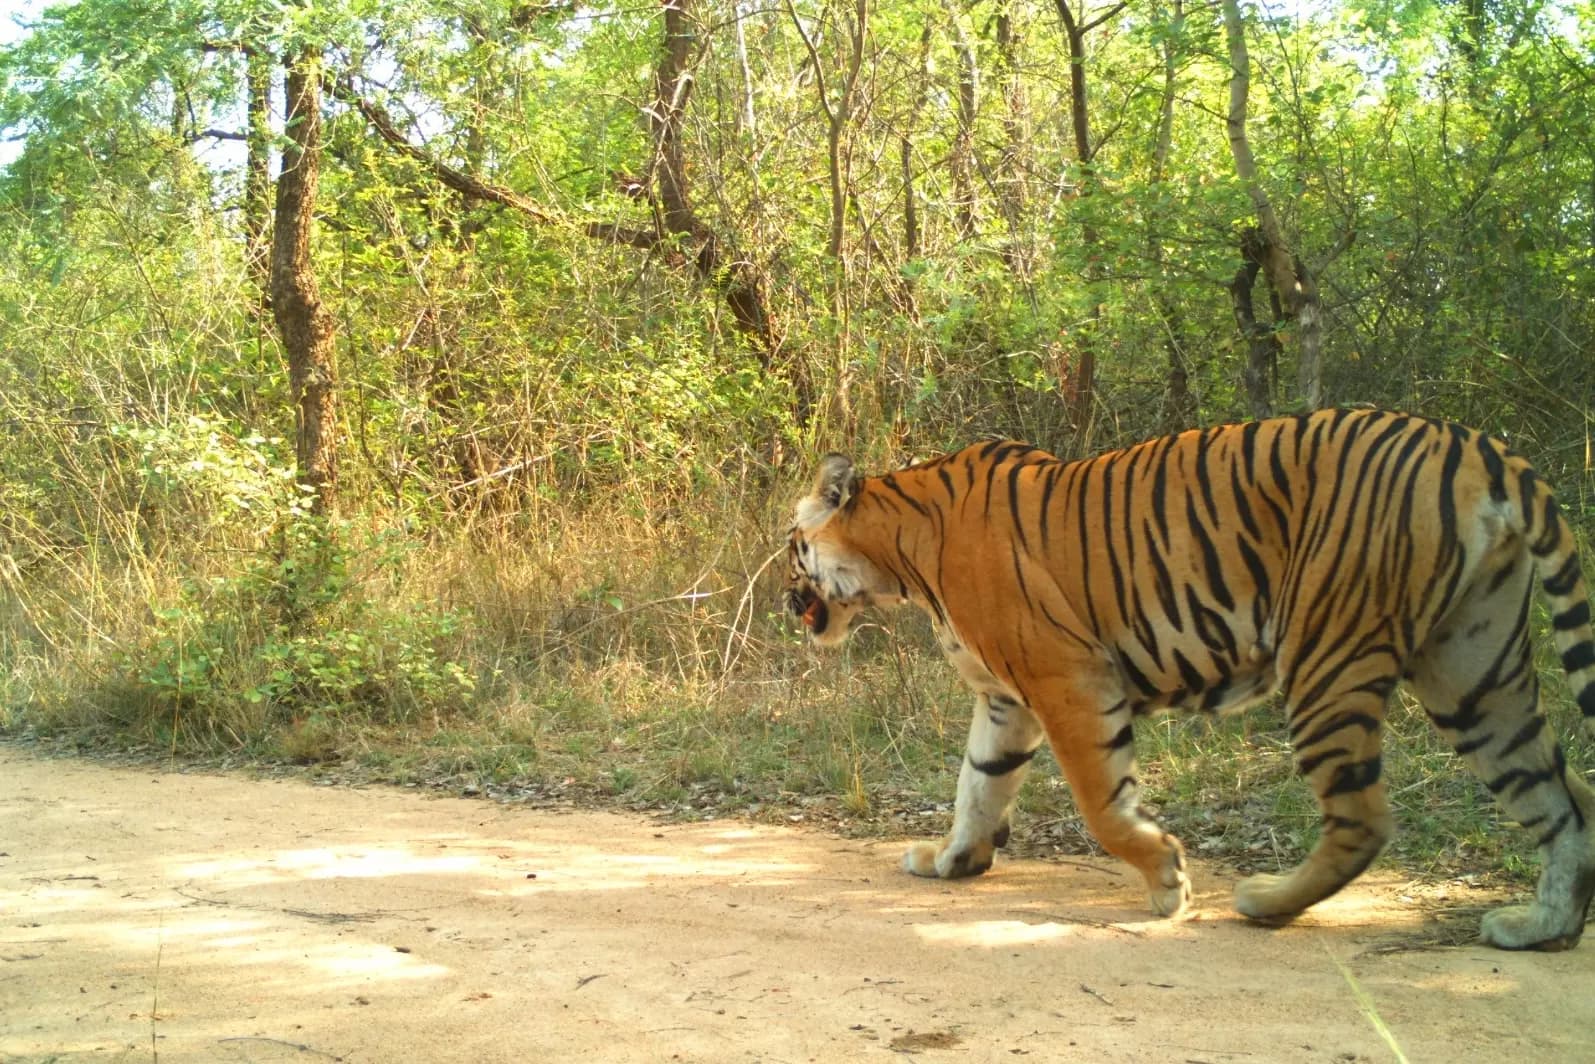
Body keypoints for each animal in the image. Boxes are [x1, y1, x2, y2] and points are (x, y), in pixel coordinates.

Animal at [783, 408, 1595, 950]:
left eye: (791, 547)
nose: (785, 599)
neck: (898, 558)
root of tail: (1476, 446)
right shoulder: (1005, 700)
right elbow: (977, 787)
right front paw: (952, 861)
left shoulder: (1067, 678)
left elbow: (1101, 806)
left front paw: (1167, 880)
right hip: (1474, 674)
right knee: (1561, 803)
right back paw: (1538, 927)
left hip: (1329, 658)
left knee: (1362, 817)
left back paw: (1267, 902)